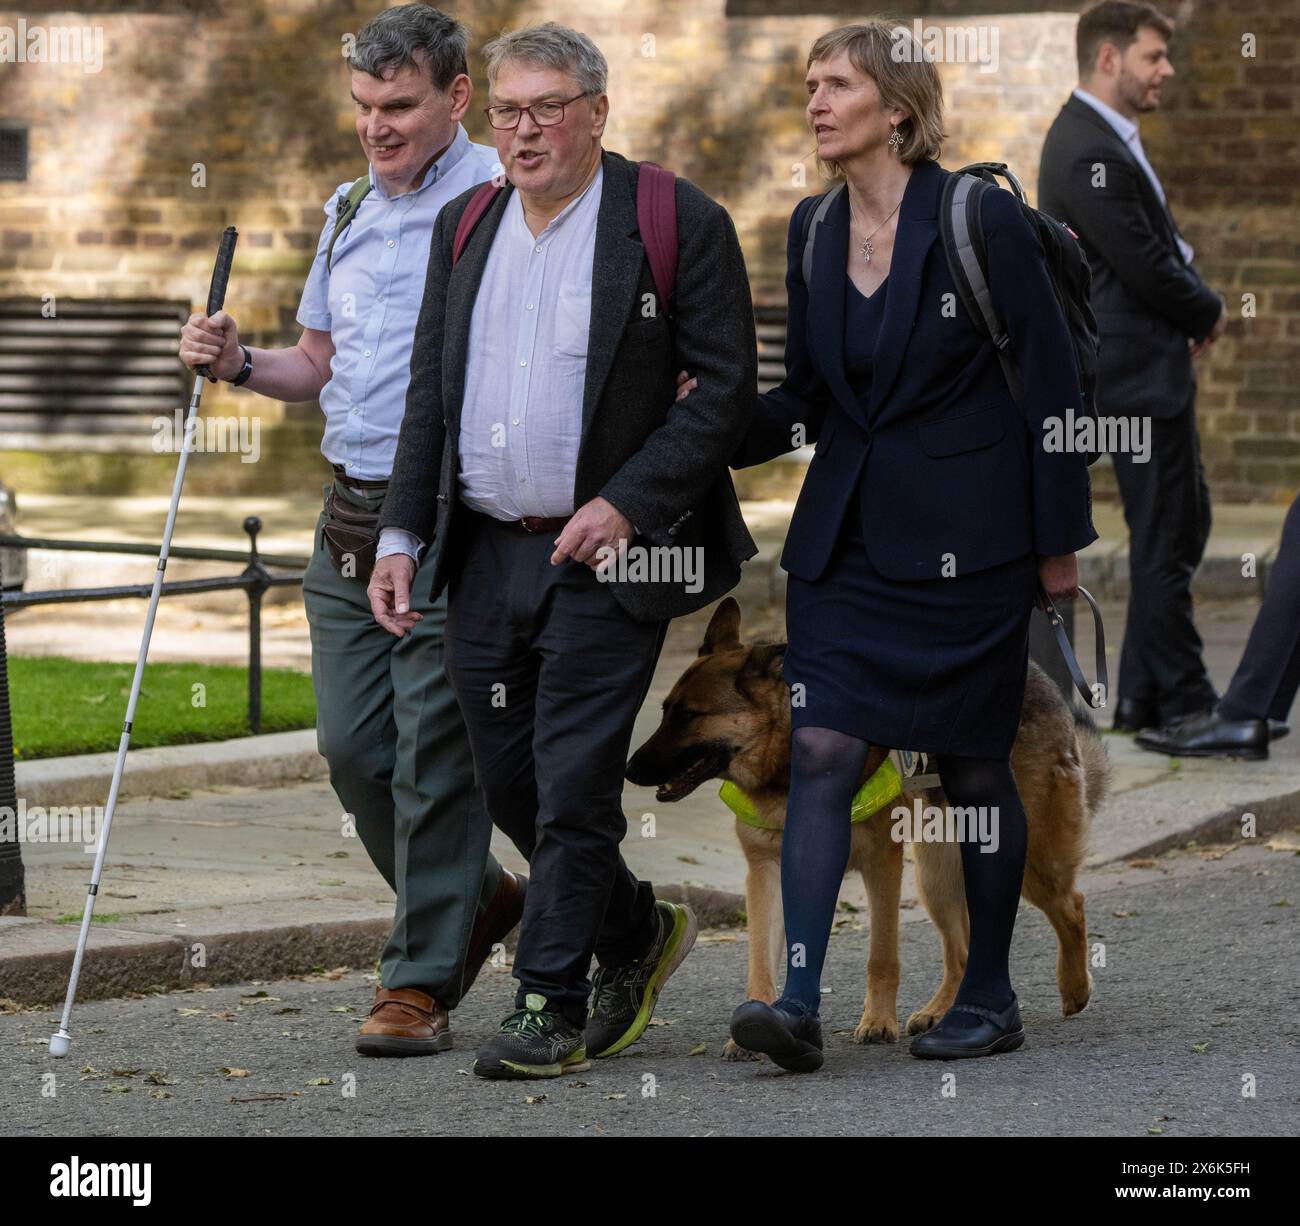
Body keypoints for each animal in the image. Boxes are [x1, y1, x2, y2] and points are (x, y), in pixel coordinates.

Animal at [626, 598, 1107, 1060]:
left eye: (689, 715)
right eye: (666, 710)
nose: (629, 769)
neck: (785, 756)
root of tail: (1041, 678)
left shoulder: (881, 864)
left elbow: (881, 956)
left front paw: (876, 1022)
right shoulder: (765, 872)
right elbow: (761, 958)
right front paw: (758, 1025)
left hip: (1024, 855)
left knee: (1072, 905)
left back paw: (1074, 988)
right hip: (937, 874)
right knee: (963, 951)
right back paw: (943, 1013)